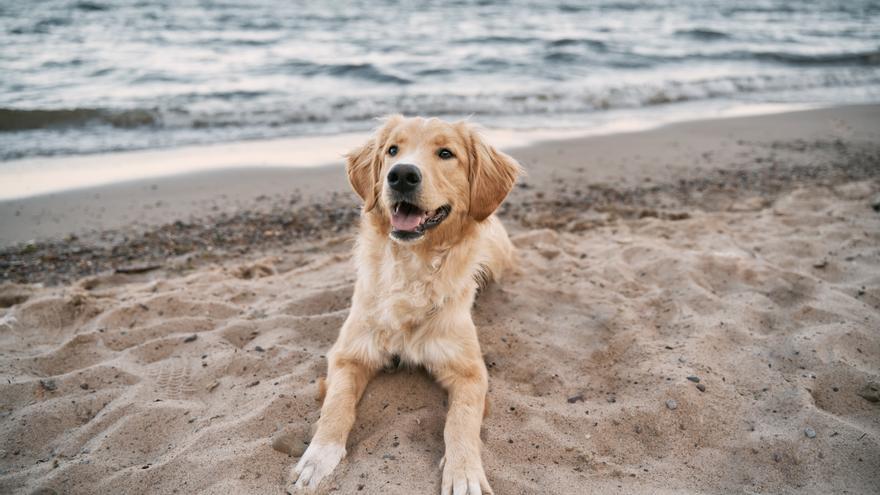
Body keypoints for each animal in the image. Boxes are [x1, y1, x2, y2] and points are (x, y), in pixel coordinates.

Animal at [288, 114, 524, 494]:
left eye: (446, 153)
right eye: (392, 150)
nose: (401, 175)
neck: (412, 267)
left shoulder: (470, 371)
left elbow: (461, 420)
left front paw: (464, 471)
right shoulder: (349, 354)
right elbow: (336, 406)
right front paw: (318, 457)